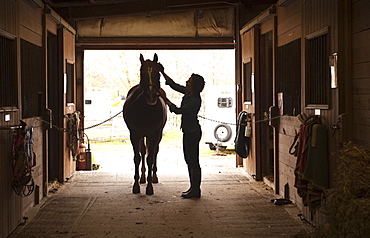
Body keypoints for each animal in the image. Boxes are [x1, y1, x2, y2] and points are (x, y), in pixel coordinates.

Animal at [123, 53, 166, 194]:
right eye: (142, 73)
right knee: (142, 153)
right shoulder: (135, 135)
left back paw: (154, 176)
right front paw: (136, 185)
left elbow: (150, 158)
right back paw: (142, 178)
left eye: (158, 73)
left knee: (154, 153)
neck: (146, 110)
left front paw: (150, 187)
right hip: (142, 136)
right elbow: (137, 157)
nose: (151, 96)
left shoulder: (154, 135)